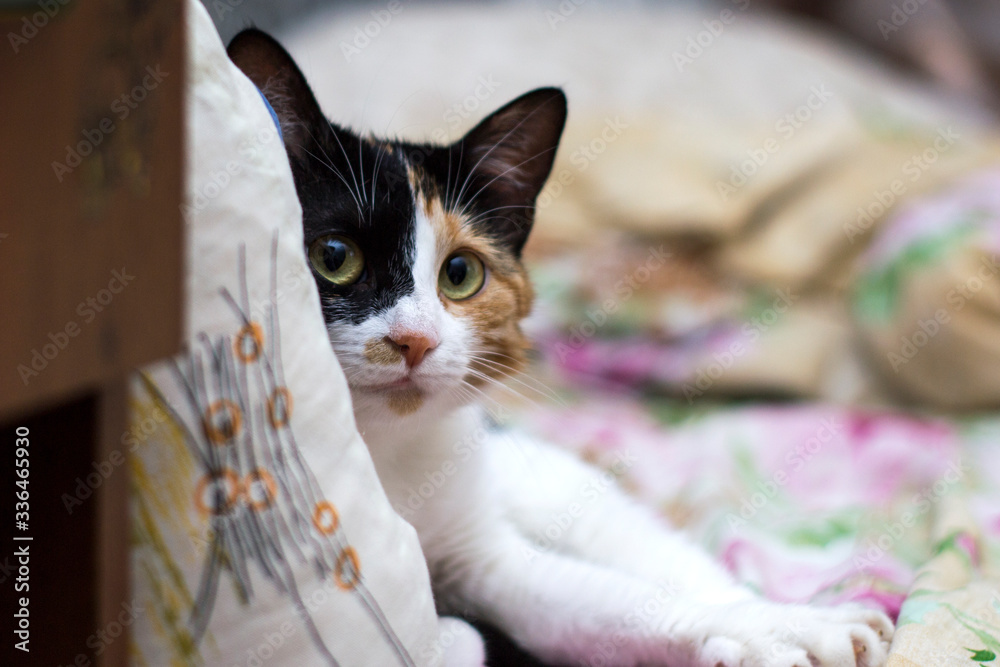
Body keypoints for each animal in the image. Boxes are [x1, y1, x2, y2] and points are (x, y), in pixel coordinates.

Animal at [230, 28, 896, 664]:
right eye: (334, 257)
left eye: (460, 274)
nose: (414, 340)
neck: (384, 448)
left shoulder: (478, 545)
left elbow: (596, 597)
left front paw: (783, 623)